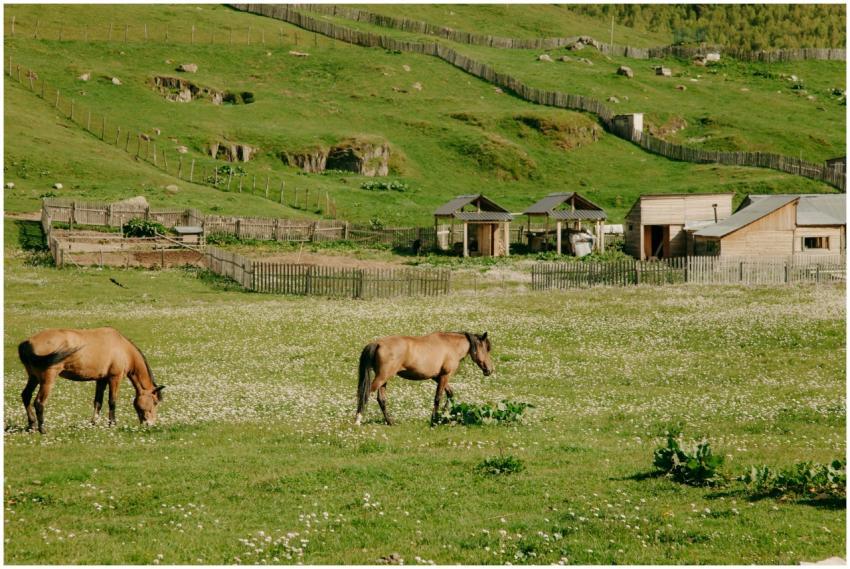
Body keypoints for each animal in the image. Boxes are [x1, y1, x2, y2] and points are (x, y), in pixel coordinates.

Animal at [17, 327, 165, 433]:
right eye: (155, 402)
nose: (150, 424)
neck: (122, 348)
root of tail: (27, 343)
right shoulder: (114, 378)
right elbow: (112, 401)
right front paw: (112, 424)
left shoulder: (101, 380)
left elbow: (98, 402)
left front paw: (93, 423)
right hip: (47, 380)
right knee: (38, 402)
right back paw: (42, 429)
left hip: (34, 377)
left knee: (26, 396)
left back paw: (31, 425)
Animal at [355, 331, 493, 426]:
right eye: (486, 349)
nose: (490, 370)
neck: (450, 345)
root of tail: (378, 343)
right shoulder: (445, 376)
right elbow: (438, 397)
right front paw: (435, 420)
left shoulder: (437, 377)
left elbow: (450, 394)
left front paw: (443, 415)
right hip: (382, 377)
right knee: (365, 394)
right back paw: (357, 420)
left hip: (384, 380)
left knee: (381, 400)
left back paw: (390, 422)